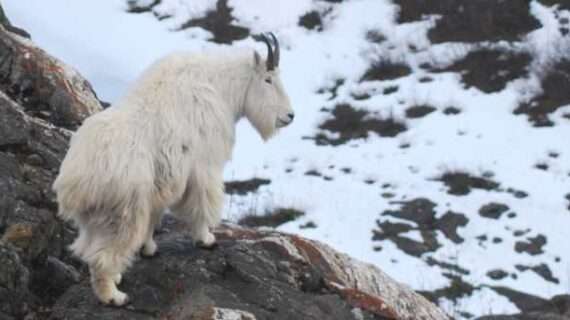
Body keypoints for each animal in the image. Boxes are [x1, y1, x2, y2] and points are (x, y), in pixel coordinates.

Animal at [51, 33, 292, 306]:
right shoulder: (204, 166)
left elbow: (156, 215)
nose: (289, 116)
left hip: (94, 219)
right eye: (268, 79)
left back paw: (117, 278)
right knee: (103, 257)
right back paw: (114, 296)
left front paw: (149, 248)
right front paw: (206, 239)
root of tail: (75, 182)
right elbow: (201, 204)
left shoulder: (164, 181)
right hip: (123, 212)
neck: (221, 88)